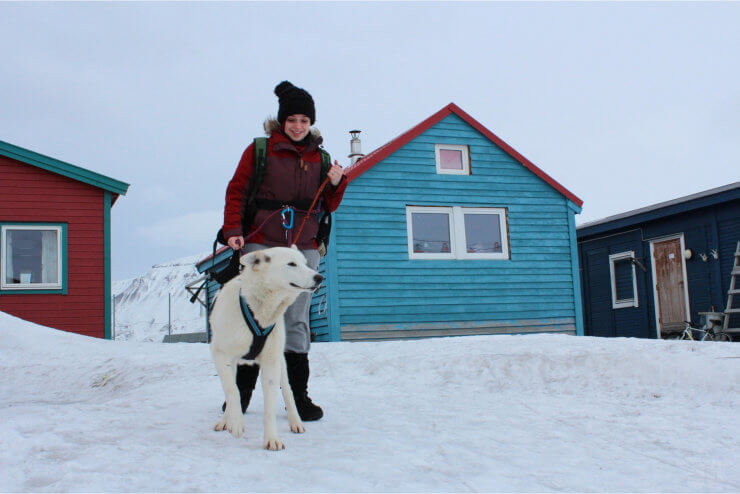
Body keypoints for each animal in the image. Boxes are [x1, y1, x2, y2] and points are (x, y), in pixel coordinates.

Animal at [210, 245, 322, 450]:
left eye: (305, 263)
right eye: (291, 264)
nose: (319, 277)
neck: (258, 309)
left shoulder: (271, 362)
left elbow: (270, 406)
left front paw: (271, 438)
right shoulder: (220, 355)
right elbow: (232, 391)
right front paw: (235, 422)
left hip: (280, 363)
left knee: (288, 391)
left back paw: (296, 420)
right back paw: (226, 420)